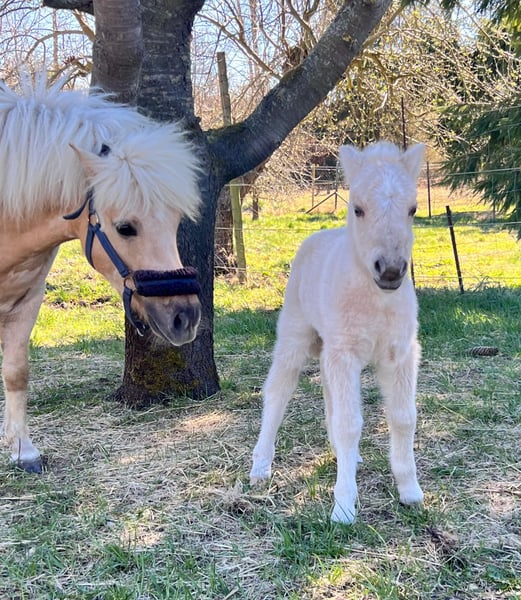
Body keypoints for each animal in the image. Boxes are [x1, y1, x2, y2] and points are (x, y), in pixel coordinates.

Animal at [0, 76, 202, 474]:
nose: (184, 317)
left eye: (174, 222)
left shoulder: (26, 300)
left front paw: (22, 449)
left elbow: (16, 372)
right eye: (125, 227)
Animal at [250, 141, 425, 524]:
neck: (376, 301)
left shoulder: (400, 353)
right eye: (357, 209)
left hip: (330, 346)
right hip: (295, 335)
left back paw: (347, 456)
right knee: (278, 391)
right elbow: (349, 423)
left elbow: (403, 418)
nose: (391, 270)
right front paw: (343, 507)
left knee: (329, 392)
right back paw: (260, 467)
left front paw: (410, 492)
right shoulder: (345, 353)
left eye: (413, 209)